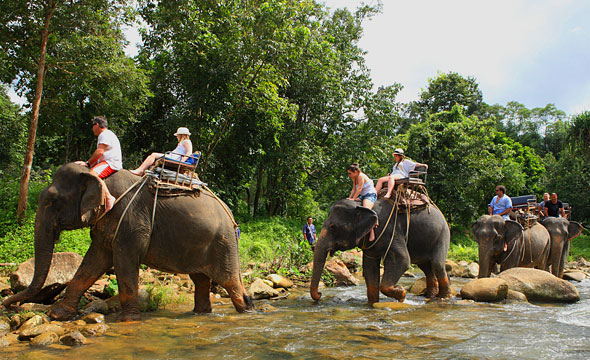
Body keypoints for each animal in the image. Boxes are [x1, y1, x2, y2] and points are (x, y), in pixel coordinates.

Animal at [4, 164, 254, 320]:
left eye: (53, 201)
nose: (8, 304)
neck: (97, 175)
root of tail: (231, 217)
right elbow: (93, 262)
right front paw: (56, 314)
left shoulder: (131, 220)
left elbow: (124, 261)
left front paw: (129, 320)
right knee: (201, 281)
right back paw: (201, 315)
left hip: (224, 244)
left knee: (231, 282)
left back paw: (248, 311)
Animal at [310, 198, 454, 306]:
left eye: (333, 227)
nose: (320, 294)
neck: (362, 205)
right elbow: (369, 268)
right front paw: (372, 304)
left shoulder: (391, 231)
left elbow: (402, 260)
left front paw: (401, 293)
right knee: (426, 268)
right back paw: (431, 298)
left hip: (443, 234)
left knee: (437, 264)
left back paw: (443, 298)